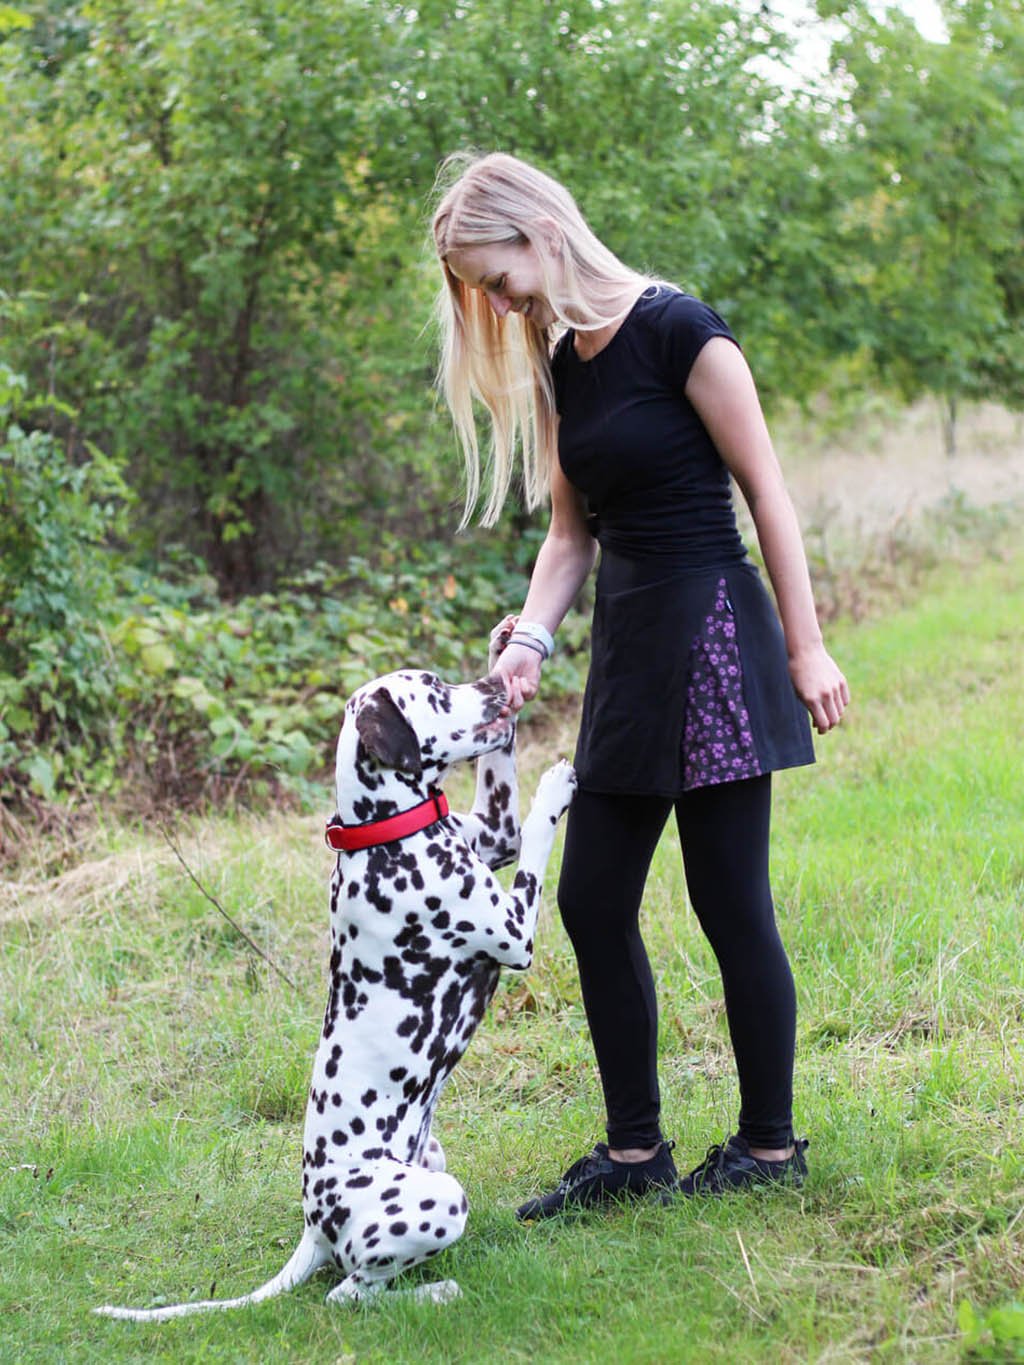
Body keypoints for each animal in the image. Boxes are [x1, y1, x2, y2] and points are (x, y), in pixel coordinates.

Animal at [98, 625, 578, 1315]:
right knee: (347, 1296)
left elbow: (503, 792)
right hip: (439, 1199)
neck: (386, 834)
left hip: (433, 1157)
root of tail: (314, 1228)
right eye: (435, 690)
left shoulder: (493, 833)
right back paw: (439, 1291)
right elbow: (536, 836)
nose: (494, 686)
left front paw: (504, 647)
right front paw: (554, 787)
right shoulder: (515, 930)